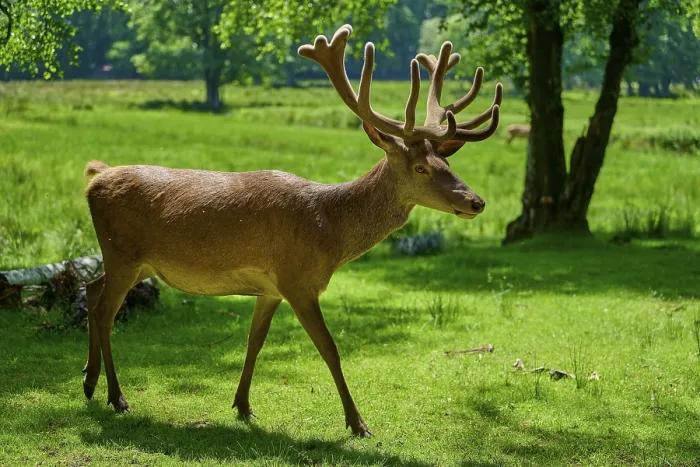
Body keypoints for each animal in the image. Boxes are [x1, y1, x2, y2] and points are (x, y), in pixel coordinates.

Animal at [81, 24, 502, 437]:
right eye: (420, 168)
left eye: (446, 162)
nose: (477, 202)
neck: (330, 232)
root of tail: (94, 180)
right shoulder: (298, 280)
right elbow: (330, 349)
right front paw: (358, 423)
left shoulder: (271, 287)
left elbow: (254, 341)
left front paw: (243, 406)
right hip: (123, 253)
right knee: (105, 311)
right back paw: (116, 397)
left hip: (132, 261)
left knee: (90, 286)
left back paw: (88, 380)